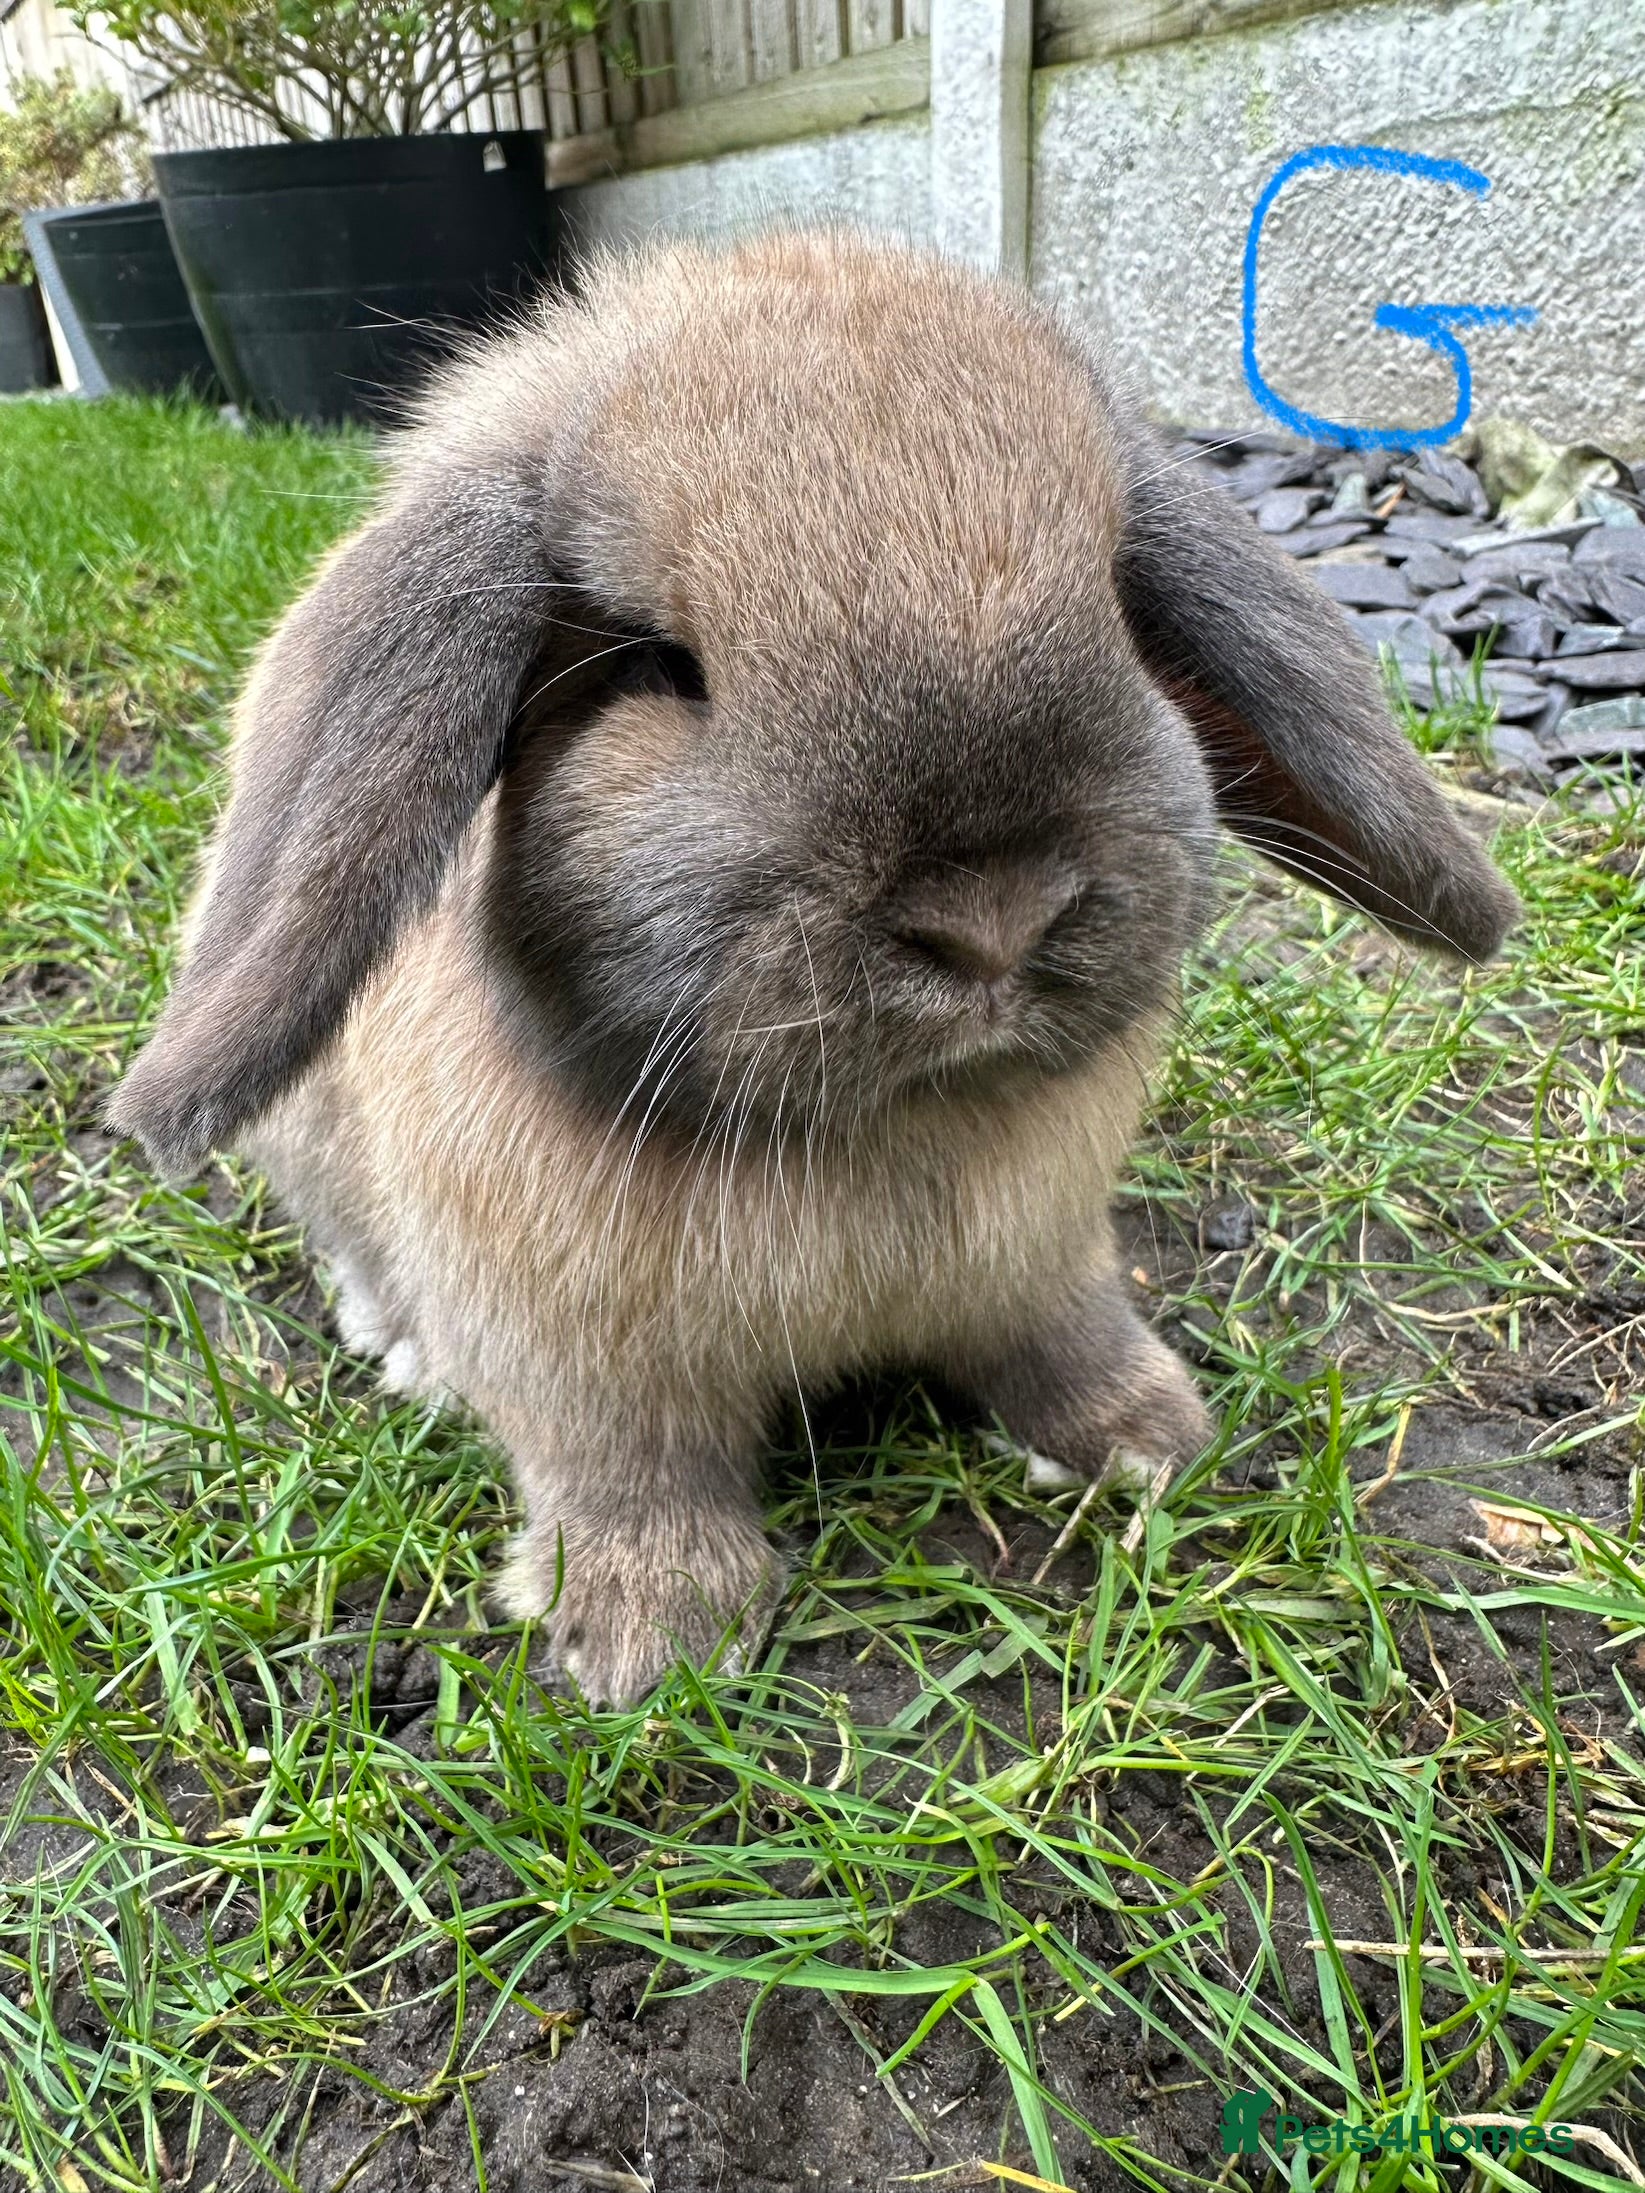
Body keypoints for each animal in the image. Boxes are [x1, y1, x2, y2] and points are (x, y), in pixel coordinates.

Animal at [108, 230, 1518, 1705]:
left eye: (1119, 607)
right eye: (660, 666)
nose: (991, 920)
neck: (880, 1131)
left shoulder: (1046, 1261)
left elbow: (1066, 1336)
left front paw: (1149, 1443)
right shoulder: (574, 1365)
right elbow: (626, 1470)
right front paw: (653, 1638)